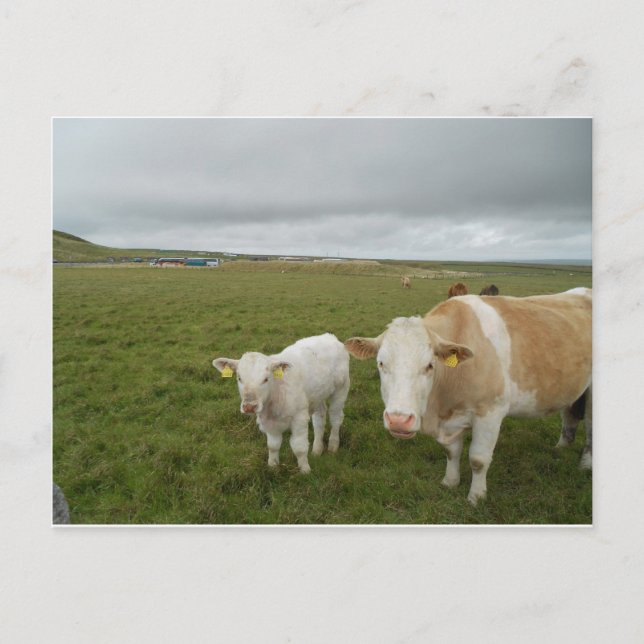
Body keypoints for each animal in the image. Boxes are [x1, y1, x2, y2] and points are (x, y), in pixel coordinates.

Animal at [213, 333, 350, 474]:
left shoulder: (299, 418)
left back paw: (333, 445)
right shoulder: (269, 423)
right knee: (319, 418)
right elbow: (273, 446)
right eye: (239, 378)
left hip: (341, 388)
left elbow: (299, 447)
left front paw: (305, 470)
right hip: (317, 395)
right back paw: (317, 450)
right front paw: (273, 466)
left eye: (266, 379)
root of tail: (329, 336)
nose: (249, 406)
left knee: (335, 418)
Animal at [344, 288, 592, 504]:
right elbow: (451, 452)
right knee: (570, 416)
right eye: (381, 363)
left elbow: (478, 459)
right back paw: (560, 447)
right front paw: (450, 481)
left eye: (429, 365)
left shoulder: (490, 412)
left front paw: (476, 497)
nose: (398, 419)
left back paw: (585, 465)